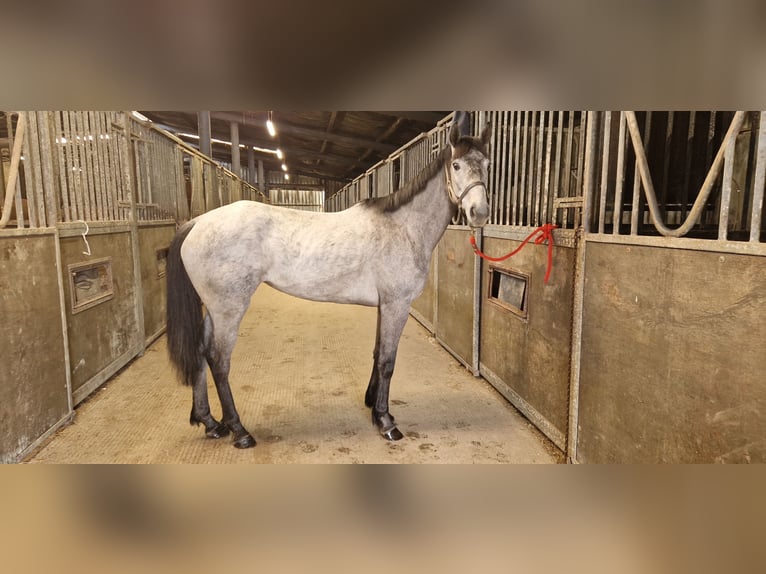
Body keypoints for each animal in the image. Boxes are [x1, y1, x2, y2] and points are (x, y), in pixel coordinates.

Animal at [166, 116, 491, 448]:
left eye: (487, 163)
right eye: (456, 165)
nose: (479, 213)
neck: (403, 227)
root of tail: (197, 223)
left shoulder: (383, 306)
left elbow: (377, 353)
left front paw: (373, 406)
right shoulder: (396, 305)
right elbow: (388, 362)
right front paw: (386, 422)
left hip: (213, 308)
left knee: (200, 352)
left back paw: (210, 423)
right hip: (229, 308)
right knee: (219, 361)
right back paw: (239, 431)